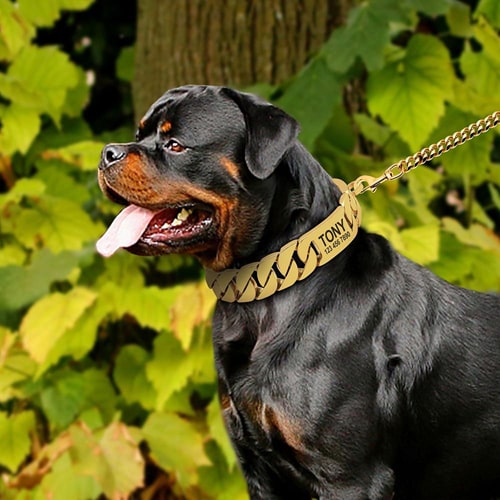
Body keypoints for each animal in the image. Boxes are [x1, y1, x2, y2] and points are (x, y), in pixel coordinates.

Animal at [97, 86, 500, 500]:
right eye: (140, 133)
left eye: (175, 144)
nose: (107, 152)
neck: (263, 293)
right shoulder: (258, 470)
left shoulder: (351, 478)